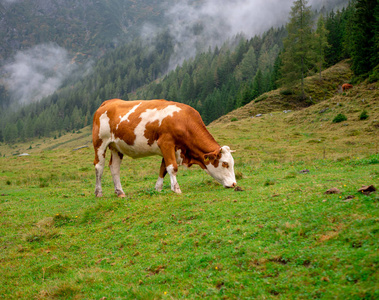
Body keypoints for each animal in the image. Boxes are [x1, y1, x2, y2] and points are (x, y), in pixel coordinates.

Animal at [91, 99, 238, 197]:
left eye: (232, 163)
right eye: (225, 163)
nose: (234, 184)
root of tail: (109, 102)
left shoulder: (170, 149)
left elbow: (163, 169)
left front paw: (158, 188)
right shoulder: (166, 143)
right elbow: (172, 167)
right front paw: (176, 189)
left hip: (116, 147)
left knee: (114, 167)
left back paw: (120, 192)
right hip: (100, 142)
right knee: (99, 166)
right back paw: (98, 192)